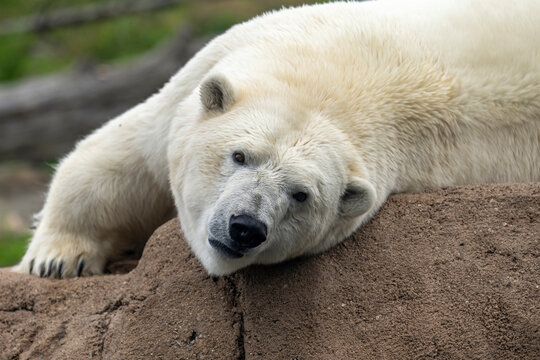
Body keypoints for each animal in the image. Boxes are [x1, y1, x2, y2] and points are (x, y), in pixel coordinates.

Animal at [13, 0, 540, 278]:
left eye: (301, 194)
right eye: (239, 155)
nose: (245, 227)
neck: (333, 76)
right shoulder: (210, 68)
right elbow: (120, 161)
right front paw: (55, 260)